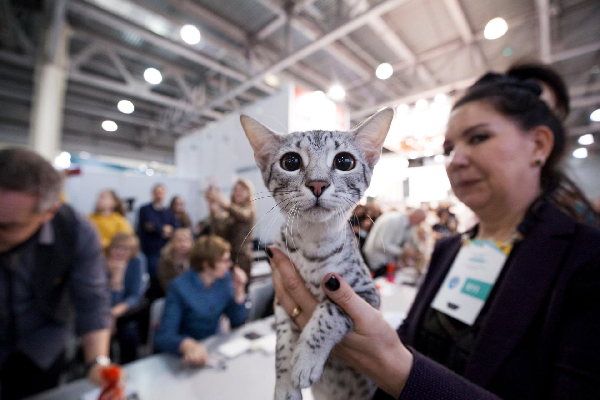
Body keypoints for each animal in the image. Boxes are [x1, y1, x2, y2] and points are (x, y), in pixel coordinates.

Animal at [241, 108, 396, 400]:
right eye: (290, 161)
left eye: (344, 161)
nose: (317, 184)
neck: (313, 245)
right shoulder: (282, 301)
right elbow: (282, 343)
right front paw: (285, 382)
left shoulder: (368, 295)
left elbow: (330, 310)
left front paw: (305, 359)